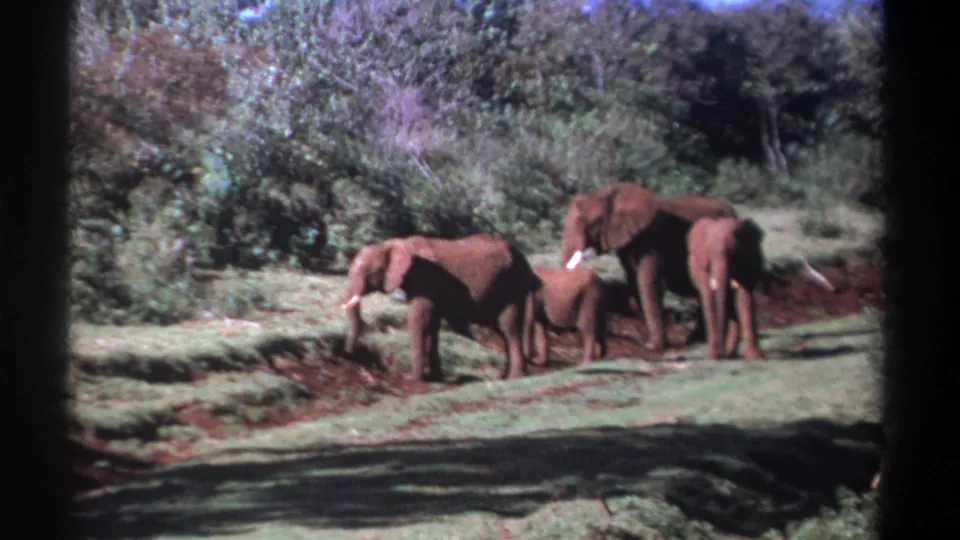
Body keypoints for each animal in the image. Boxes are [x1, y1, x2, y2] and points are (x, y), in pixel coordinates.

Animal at [340, 234, 540, 381]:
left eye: (368, 271)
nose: (350, 354)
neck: (393, 243)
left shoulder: (426, 278)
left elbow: (418, 317)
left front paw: (412, 378)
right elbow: (433, 323)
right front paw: (435, 375)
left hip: (512, 285)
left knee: (509, 326)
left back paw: (514, 377)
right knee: (501, 329)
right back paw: (508, 376)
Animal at [560, 182, 738, 354]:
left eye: (587, 222)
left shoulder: (652, 240)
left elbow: (648, 282)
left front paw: (652, 346)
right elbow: (634, 281)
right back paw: (696, 341)